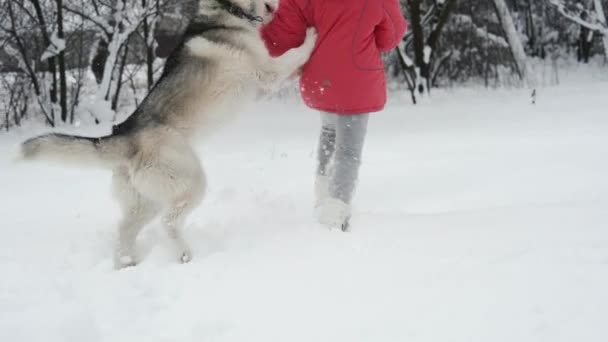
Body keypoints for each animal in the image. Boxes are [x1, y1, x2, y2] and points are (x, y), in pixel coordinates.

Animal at [18, 0, 316, 268]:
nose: (279, 6)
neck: (227, 11)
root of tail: (125, 136)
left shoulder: (265, 85)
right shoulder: (268, 73)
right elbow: (296, 54)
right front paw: (312, 37)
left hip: (145, 202)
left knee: (124, 231)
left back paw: (127, 264)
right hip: (190, 181)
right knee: (169, 222)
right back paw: (184, 256)